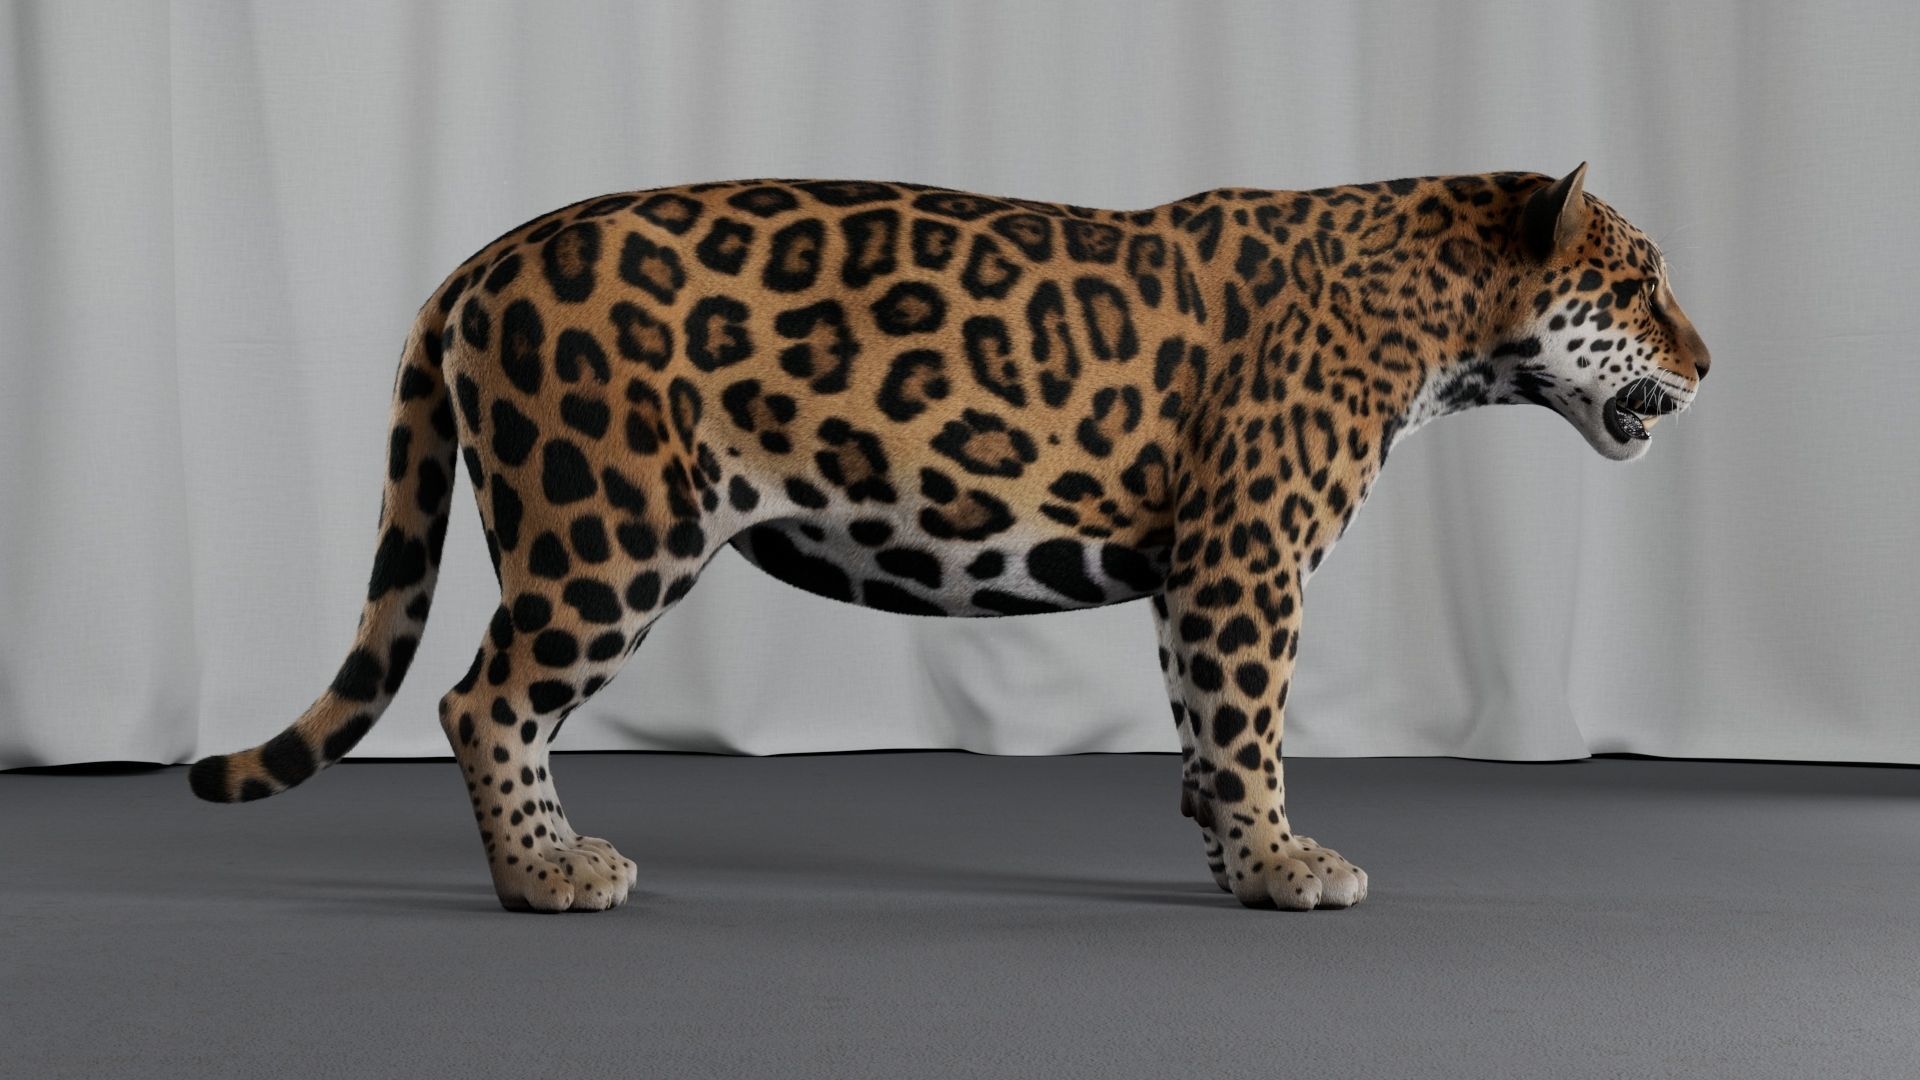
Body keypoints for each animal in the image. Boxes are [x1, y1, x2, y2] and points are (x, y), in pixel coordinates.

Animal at [189, 163, 1710, 912]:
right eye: (1640, 285)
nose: (1710, 364)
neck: (1444, 316)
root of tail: (488, 253)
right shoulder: (1247, 553)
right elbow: (1251, 721)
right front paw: (1286, 866)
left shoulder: (1199, 570)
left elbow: (1204, 721)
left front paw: (1232, 856)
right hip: (609, 527)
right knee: (481, 696)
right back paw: (546, 876)